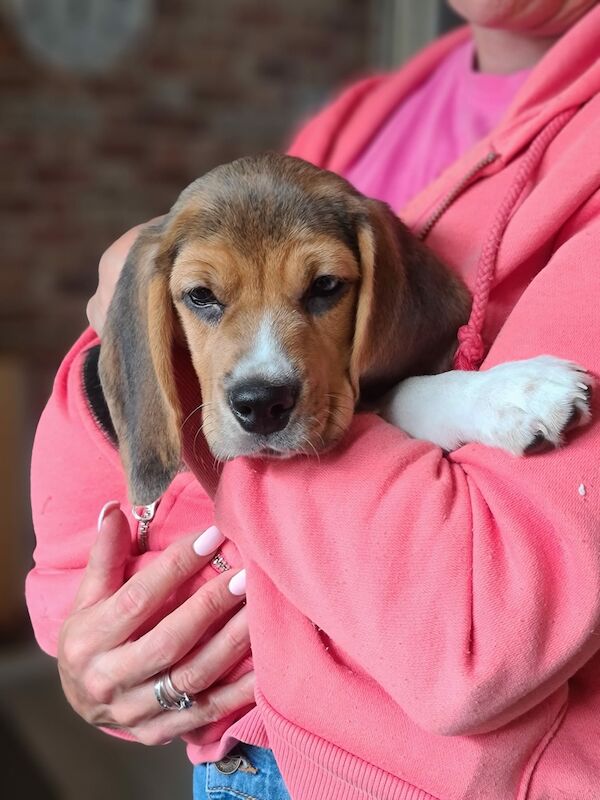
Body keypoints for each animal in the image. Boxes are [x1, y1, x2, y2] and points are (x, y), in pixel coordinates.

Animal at [98, 153, 592, 504]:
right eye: (201, 295)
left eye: (325, 285)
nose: (261, 404)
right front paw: (511, 392)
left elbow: (408, 389)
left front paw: (511, 390)